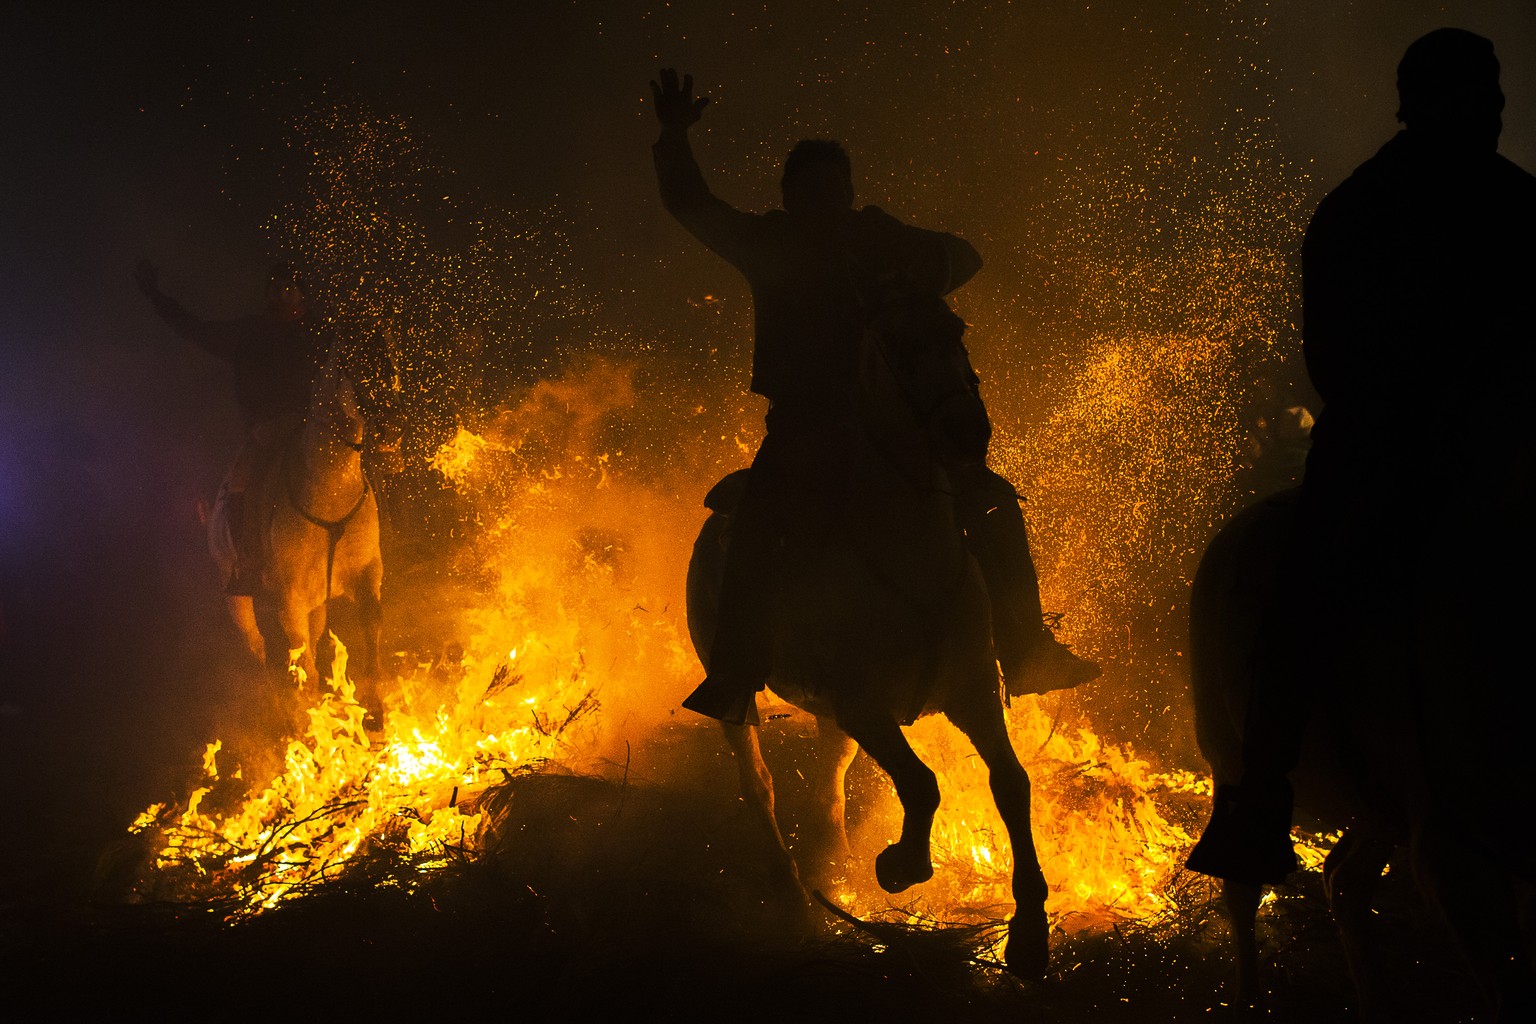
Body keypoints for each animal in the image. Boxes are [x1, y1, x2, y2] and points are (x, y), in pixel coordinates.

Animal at [688, 287, 1056, 976]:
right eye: (897, 346)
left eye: (957, 329)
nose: (967, 431)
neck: (910, 556)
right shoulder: (864, 703)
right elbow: (922, 782)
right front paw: (901, 865)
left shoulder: (971, 695)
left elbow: (1011, 784)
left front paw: (1029, 928)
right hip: (738, 696)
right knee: (760, 788)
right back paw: (794, 898)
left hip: (835, 717)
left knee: (830, 778)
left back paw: (832, 862)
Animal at [1185, 475, 1536, 1019]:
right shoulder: (1448, 849)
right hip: (1232, 760)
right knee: (1243, 884)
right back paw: (1250, 1002)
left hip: (1374, 808)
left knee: (1343, 879)